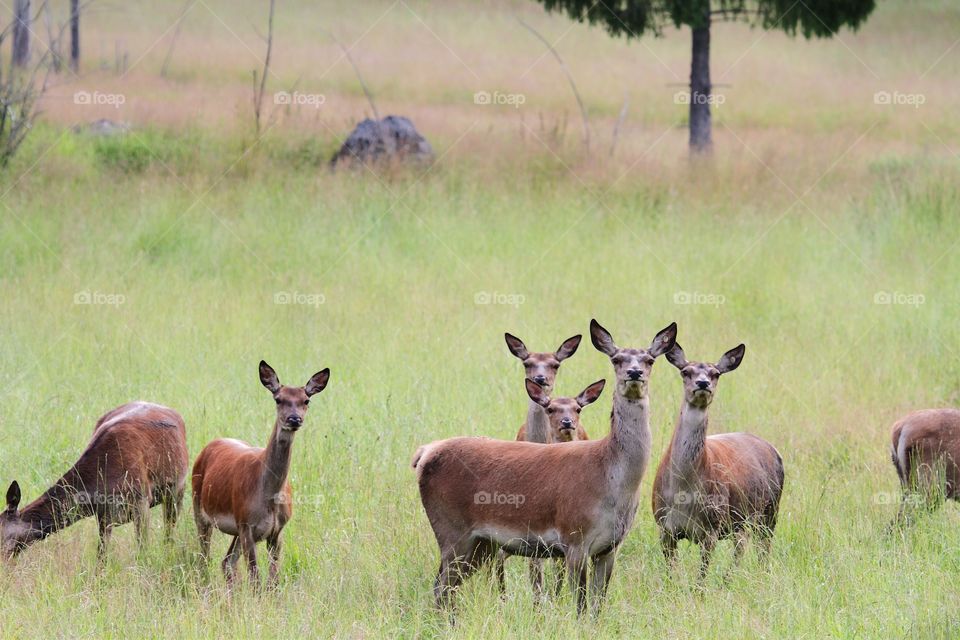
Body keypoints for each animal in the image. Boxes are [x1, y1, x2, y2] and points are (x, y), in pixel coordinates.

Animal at [0, 402, 191, 564]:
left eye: (4, 538)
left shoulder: (141, 499)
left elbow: (142, 548)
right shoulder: (103, 514)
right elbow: (101, 556)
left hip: (178, 489)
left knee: (169, 531)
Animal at [191, 360, 330, 592]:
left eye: (306, 400)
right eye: (278, 399)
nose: (294, 419)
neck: (269, 497)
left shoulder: (277, 530)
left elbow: (273, 580)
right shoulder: (247, 524)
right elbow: (255, 578)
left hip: (236, 529)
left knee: (226, 562)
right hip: (200, 510)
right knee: (204, 558)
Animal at [648, 342, 784, 584]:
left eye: (716, 374)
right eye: (685, 371)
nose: (703, 383)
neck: (683, 493)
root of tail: (773, 449)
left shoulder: (711, 526)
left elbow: (701, 577)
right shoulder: (663, 525)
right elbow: (671, 574)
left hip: (770, 510)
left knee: (761, 548)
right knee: (742, 545)